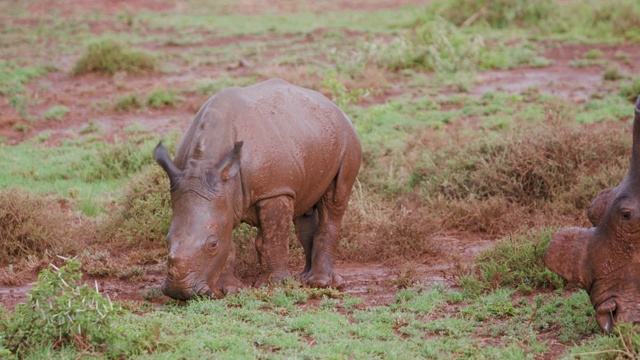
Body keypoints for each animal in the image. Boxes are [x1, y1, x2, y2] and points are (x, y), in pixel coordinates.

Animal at [155, 79, 362, 300]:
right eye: (167, 240)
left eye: (212, 244)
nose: (179, 291)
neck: (202, 167)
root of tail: (335, 107)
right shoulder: (220, 196)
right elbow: (228, 239)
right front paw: (227, 291)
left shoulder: (275, 191)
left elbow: (271, 239)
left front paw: (273, 287)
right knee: (304, 209)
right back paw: (303, 279)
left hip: (348, 138)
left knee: (334, 201)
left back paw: (320, 283)